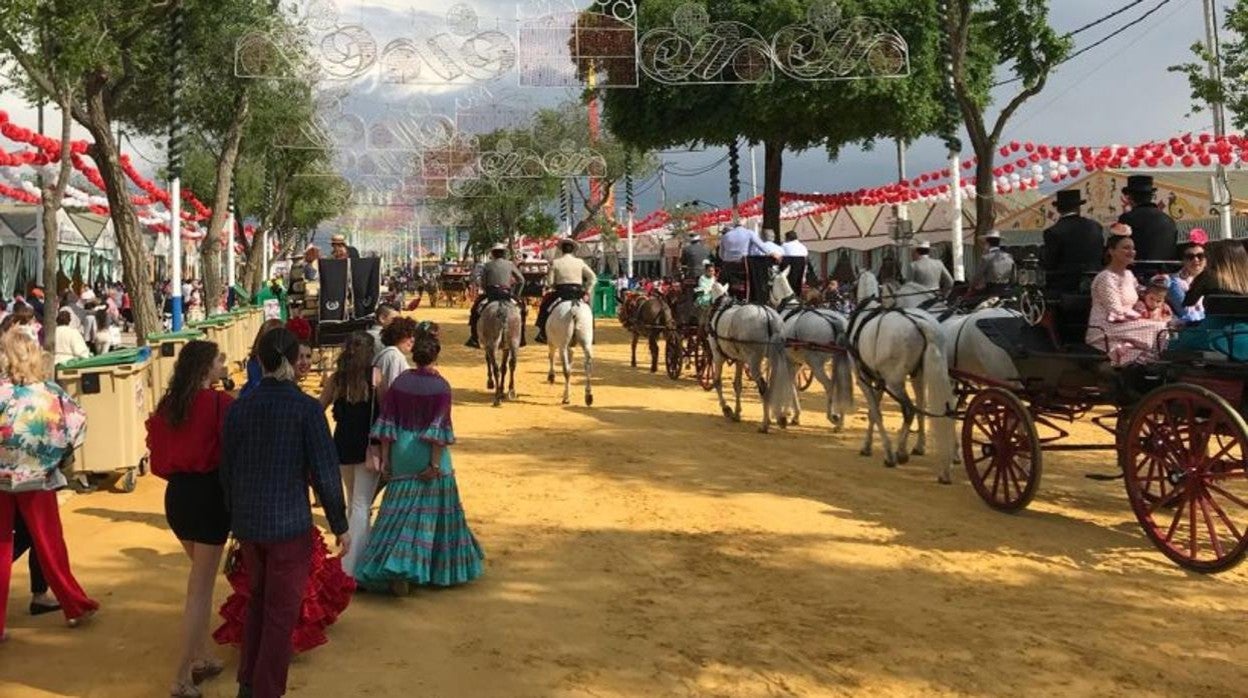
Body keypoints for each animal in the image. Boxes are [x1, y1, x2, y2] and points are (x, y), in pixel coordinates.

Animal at [708, 277, 793, 432]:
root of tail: (768, 316)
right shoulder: (740, 359)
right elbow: (738, 385)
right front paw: (736, 413)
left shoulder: (718, 355)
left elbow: (717, 381)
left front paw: (726, 409)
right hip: (775, 358)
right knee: (773, 385)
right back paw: (779, 418)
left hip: (754, 360)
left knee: (764, 387)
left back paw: (765, 424)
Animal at [763, 270, 853, 429]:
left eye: (769, 284)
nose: (768, 303)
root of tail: (835, 321)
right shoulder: (796, 362)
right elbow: (793, 384)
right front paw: (793, 415)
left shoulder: (787, 360)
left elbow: (789, 384)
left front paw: (785, 414)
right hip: (839, 360)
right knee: (841, 385)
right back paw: (840, 421)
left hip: (816, 364)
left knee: (829, 385)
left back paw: (832, 416)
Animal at [848, 280, 953, 484]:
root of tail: (922, 324)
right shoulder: (879, 380)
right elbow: (873, 413)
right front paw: (867, 446)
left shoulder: (863, 379)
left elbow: (876, 413)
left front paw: (887, 453)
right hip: (922, 375)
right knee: (924, 407)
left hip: (895, 382)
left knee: (909, 410)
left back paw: (900, 453)